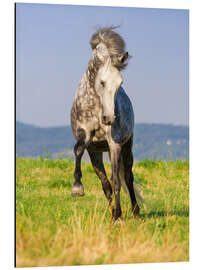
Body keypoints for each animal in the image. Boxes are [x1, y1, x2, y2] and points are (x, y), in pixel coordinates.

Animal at [70, 26, 142, 221]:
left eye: (120, 83)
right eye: (102, 82)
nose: (109, 118)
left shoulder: (114, 144)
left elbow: (117, 181)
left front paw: (118, 217)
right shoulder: (87, 139)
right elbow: (78, 150)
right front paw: (77, 188)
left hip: (126, 146)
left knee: (128, 177)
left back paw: (135, 212)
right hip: (98, 152)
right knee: (105, 182)